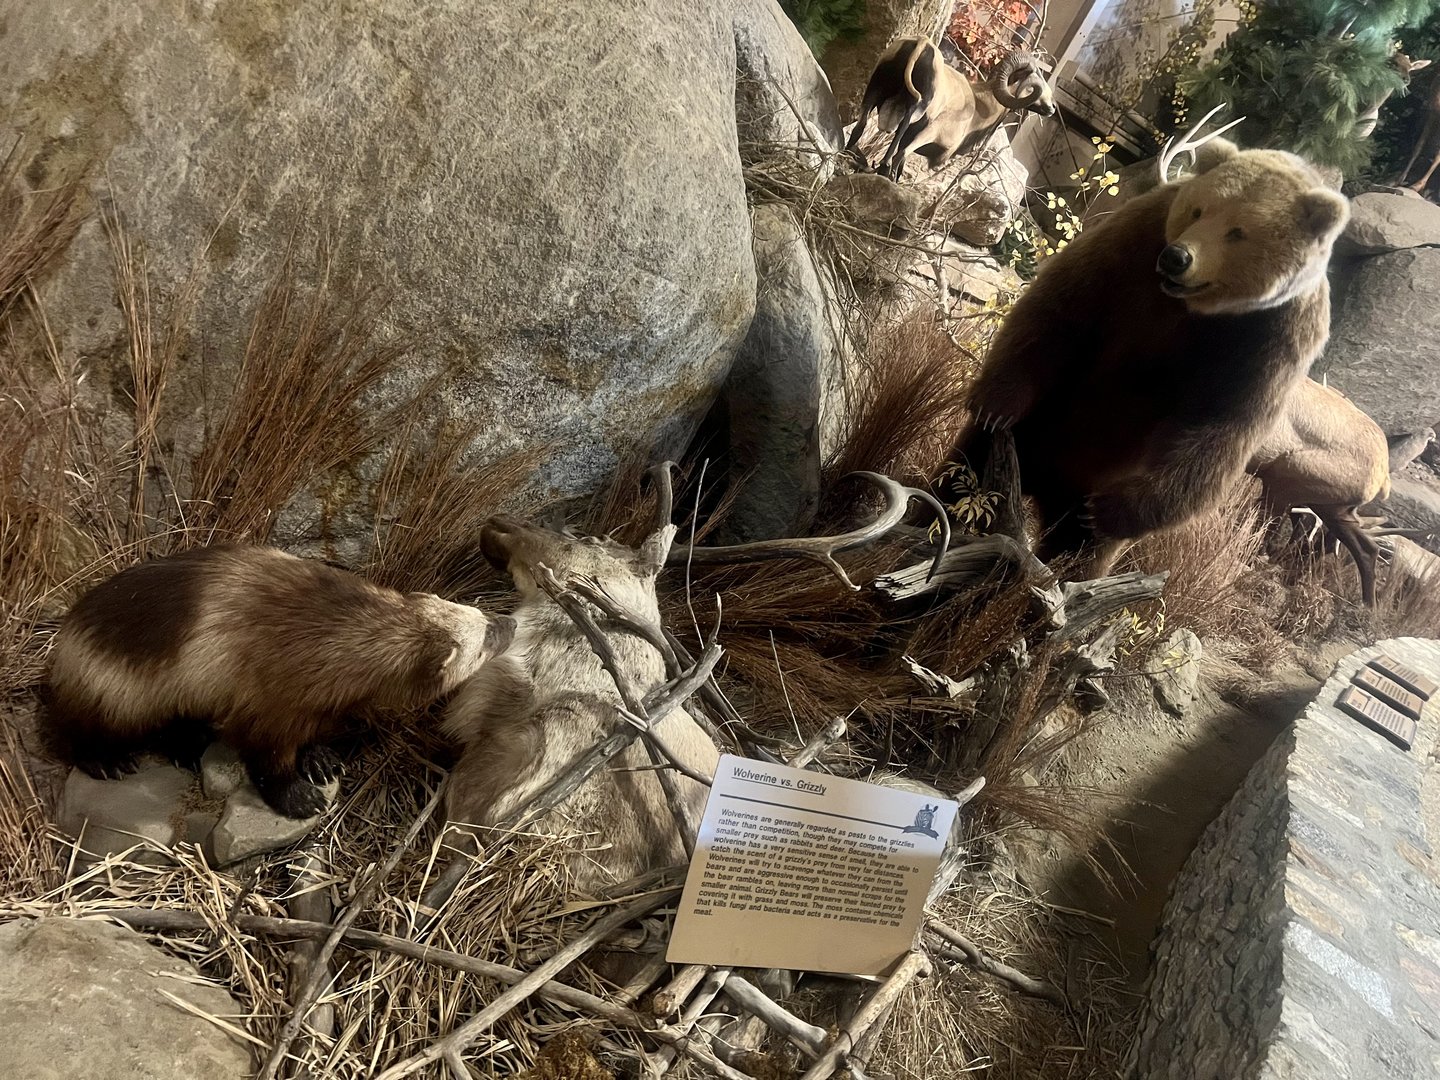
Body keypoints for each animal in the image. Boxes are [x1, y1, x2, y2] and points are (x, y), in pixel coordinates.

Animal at [942, 139, 1349, 574]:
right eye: (1198, 209)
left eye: (1238, 231)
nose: (1178, 257)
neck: (1196, 308)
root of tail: (1048, 485)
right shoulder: (1134, 243)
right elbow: (1062, 309)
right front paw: (995, 404)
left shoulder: (1272, 340)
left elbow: (1220, 425)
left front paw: (1114, 508)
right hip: (1028, 436)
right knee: (963, 475)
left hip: (1088, 490)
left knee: (1083, 548)